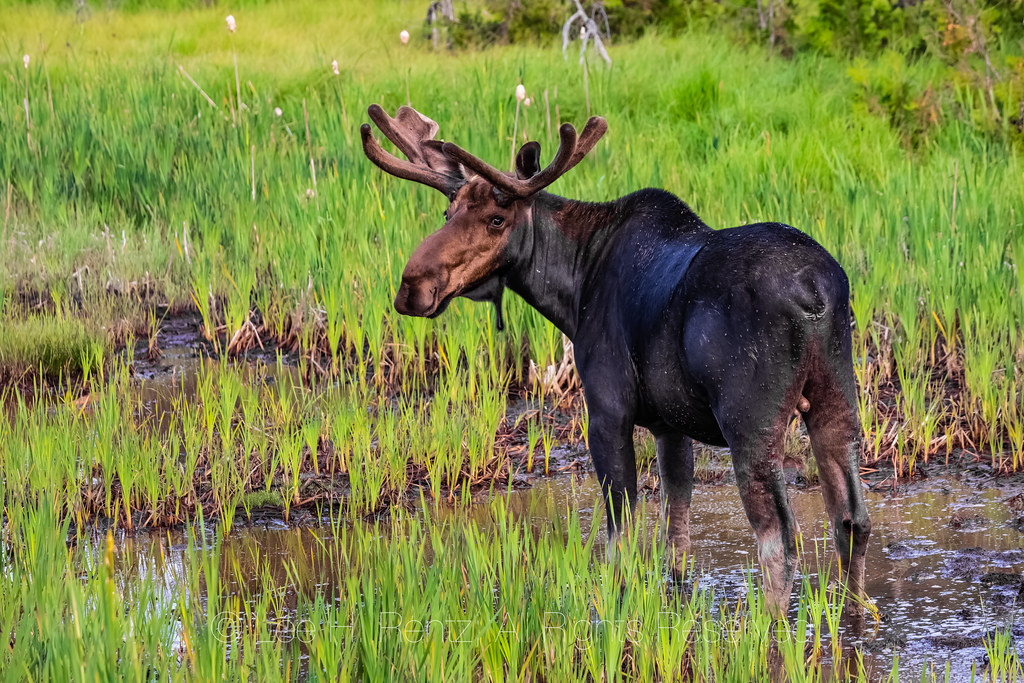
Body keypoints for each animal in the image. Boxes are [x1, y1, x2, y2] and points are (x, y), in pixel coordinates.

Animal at [360, 104, 871, 618]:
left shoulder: (608, 411)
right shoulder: (669, 423)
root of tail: (814, 291)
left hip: (751, 420)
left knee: (780, 540)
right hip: (837, 398)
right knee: (852, 519)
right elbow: (676, 534)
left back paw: (769, 632)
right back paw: (854, 615)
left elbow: (618, 538)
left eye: (497, 219)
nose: (412, 286)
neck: (572, 287)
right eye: (448, 211)